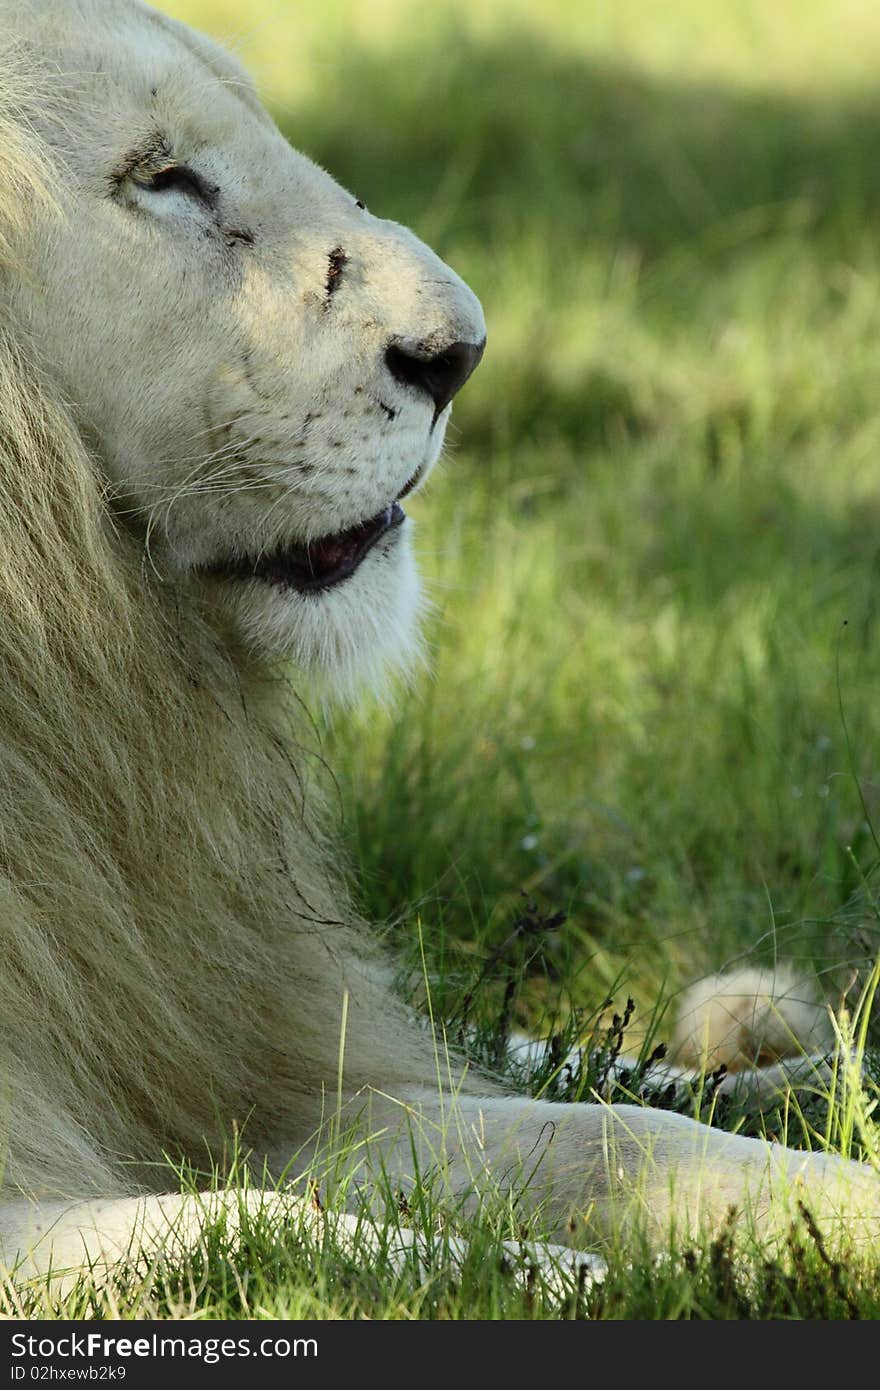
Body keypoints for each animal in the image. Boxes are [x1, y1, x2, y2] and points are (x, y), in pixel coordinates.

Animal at [0, 0, 873, 1289]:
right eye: (161, 177)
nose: (458, 355)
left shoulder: (239, 1042)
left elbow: (612, 1134)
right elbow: (261, 1233)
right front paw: (568, 1283)